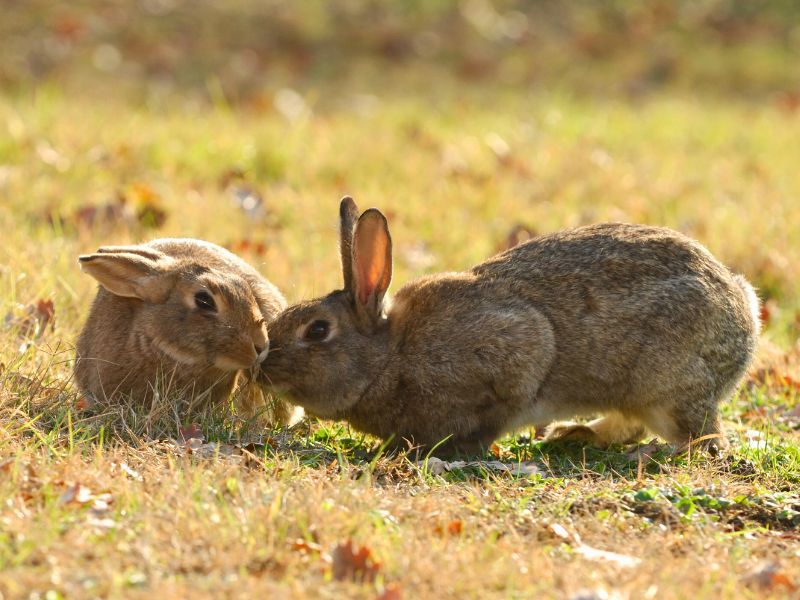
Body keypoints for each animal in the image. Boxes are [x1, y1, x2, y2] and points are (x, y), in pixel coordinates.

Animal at [260, 197, 760, 454]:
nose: (262, 367)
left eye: (317, 331)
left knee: (705, 437)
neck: (390, 356)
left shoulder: (516, 348)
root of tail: (744, 313)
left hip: (666, 384)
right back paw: (574, 433)